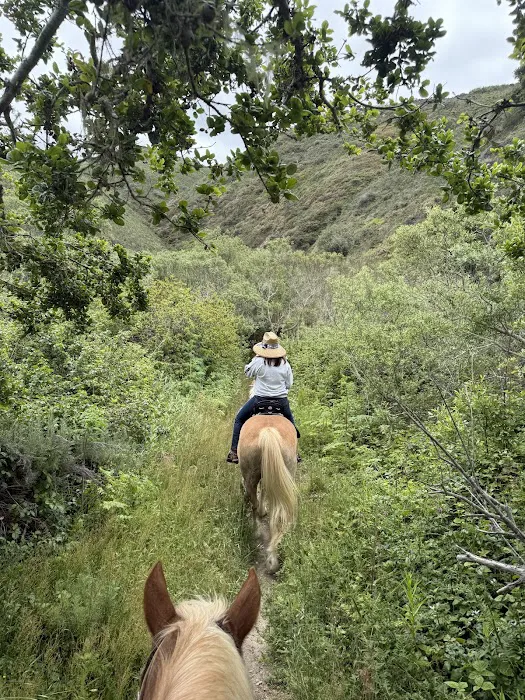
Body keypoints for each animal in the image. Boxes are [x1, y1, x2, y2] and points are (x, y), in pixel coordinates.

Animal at [238, 392, 298, 574]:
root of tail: (268, 431)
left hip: (250, 475)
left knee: (253, 503)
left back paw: (255, 531)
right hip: (286, 473)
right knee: (278, 515)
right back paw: (273, 561)